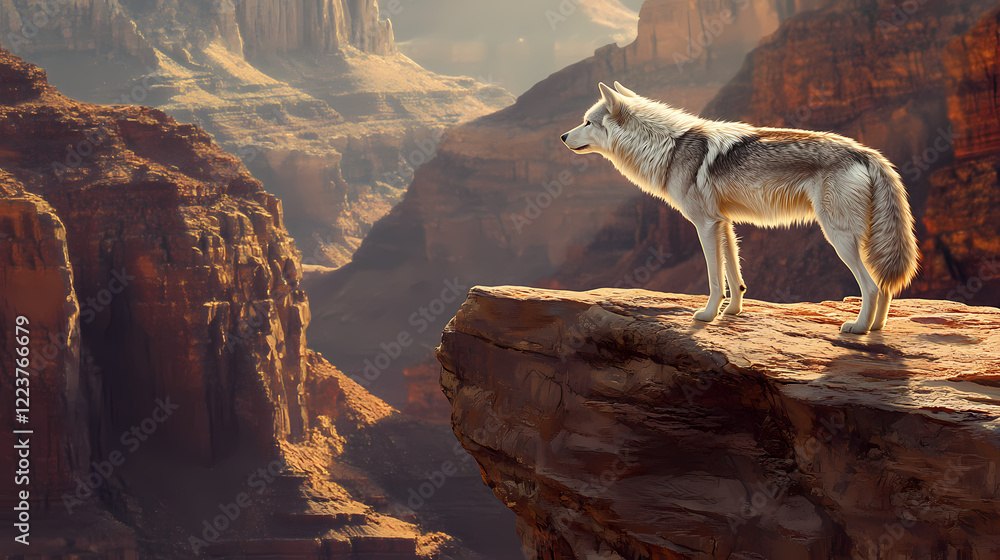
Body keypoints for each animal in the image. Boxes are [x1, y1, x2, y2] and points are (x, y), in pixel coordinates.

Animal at [561, 82, 919, 334]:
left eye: (587, 122)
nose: (563, 136)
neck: (669, 147)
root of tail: (867, 152)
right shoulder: (724, 223)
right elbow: (735, 277)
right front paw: (732, 312)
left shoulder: (705, 225)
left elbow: (714, 279)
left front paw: (707, 316)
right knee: (885, 286)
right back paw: (876, 328)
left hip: (839, 238)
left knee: (872, 286)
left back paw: (858, 329)